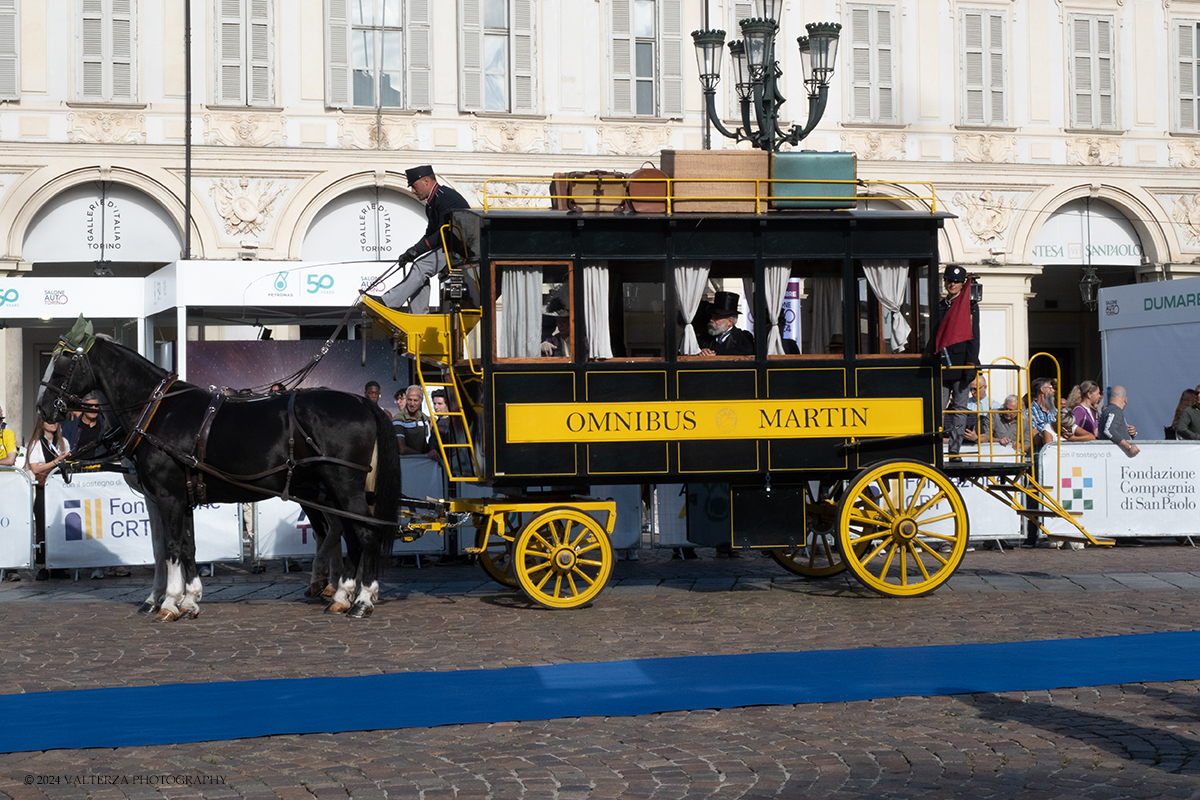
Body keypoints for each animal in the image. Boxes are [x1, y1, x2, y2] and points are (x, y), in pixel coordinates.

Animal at [37, 323, 400, 618]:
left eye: (63, 364)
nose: (43, 409)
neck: (157, 412)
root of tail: (364, 402)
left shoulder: (168, 495)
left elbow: (171, 547)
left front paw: (169, 601)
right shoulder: (178, 496)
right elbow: (184, 546)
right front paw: (188, 598)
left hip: (343, 486)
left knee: (365, 533)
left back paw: (361, 599)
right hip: (331, 490)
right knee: (348, 533)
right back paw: (342, 595)